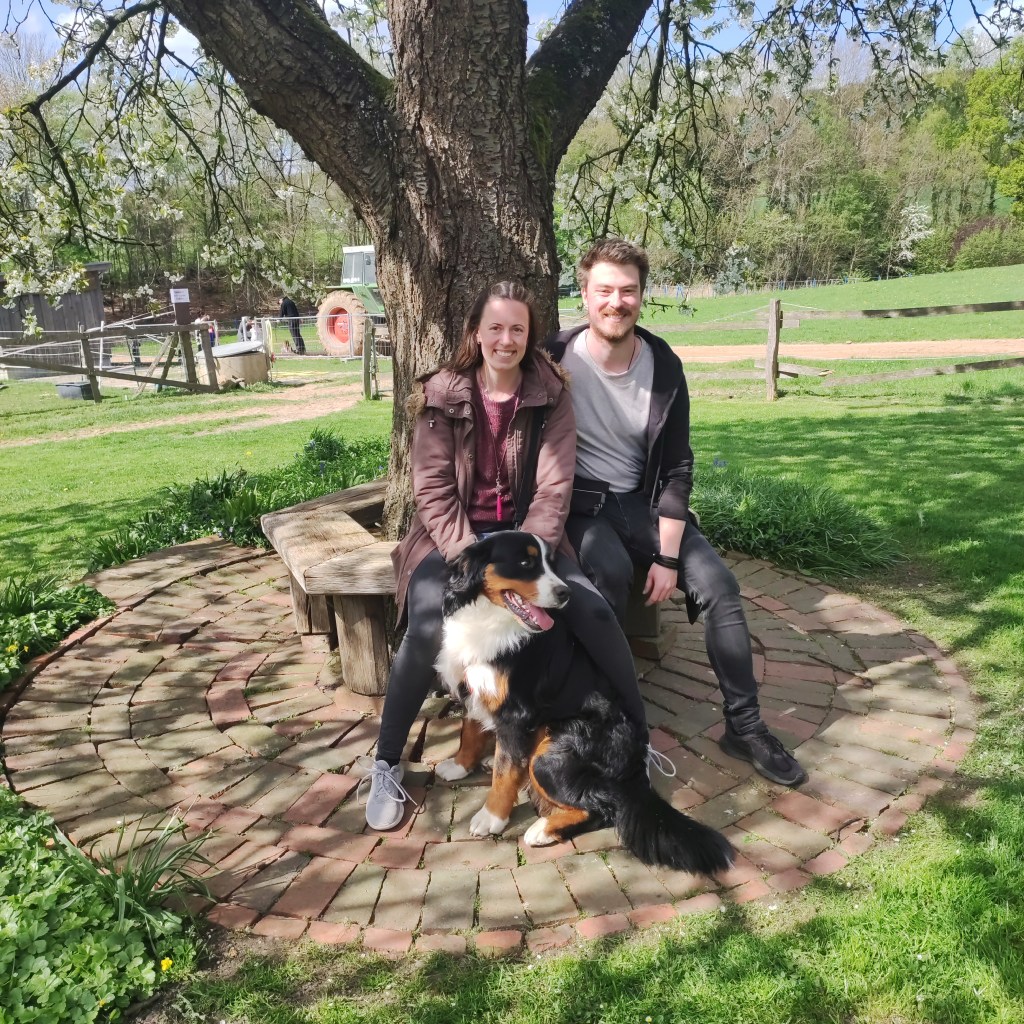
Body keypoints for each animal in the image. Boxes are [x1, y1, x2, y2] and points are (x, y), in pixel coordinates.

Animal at [433, 531, 735, 877]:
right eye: (525, 563)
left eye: (550, 563)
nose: (565, 592)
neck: (491, 621)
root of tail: (634, 769)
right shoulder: (472, 686)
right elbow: (469, 732)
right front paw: (460, 765)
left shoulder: (515, 713)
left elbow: (505, 773)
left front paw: (491, 817)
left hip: (549, 755)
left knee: (601, 809)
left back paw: (542, 829)